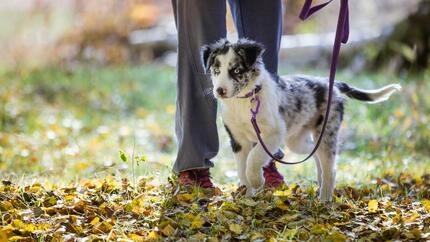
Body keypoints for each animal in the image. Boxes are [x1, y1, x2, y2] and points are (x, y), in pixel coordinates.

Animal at [202, 38, 400, 201]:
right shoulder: (238, 139)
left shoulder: (273, 134)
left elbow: (254, 158)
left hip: (326, 133)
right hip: (296, 141)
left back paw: (324, 200)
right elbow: (242, 168)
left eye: (236, 70)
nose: (219, 91)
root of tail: (333, 84)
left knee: (331, 168)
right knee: (315, 153)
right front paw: (248, 195)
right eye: (216, 70)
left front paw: (257, 181)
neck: (245, 100)